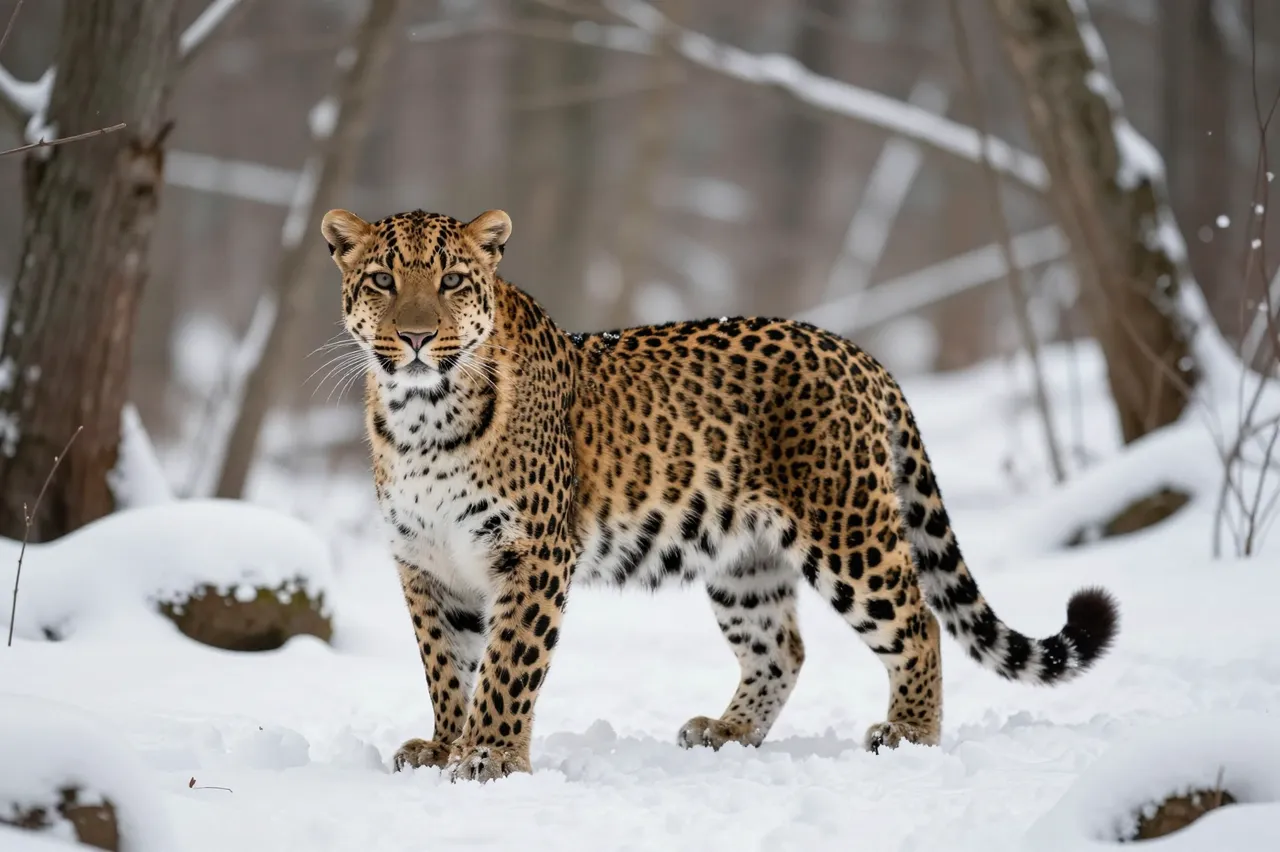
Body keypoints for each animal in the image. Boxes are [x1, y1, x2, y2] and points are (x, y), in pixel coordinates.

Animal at [320, 205, 1120, 783]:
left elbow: (509, 664)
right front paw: (442, 745)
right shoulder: (426, 562)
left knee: (918, 619)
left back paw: (910, 733)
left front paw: (489, 757)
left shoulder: (533, 553)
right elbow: (446, 665)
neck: (421, 416)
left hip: (849, 529)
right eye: (383, 281)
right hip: (744, 560)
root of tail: (859, 354)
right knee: (783, 648)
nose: (417, 337)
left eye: (453, 281)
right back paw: (729, 731)